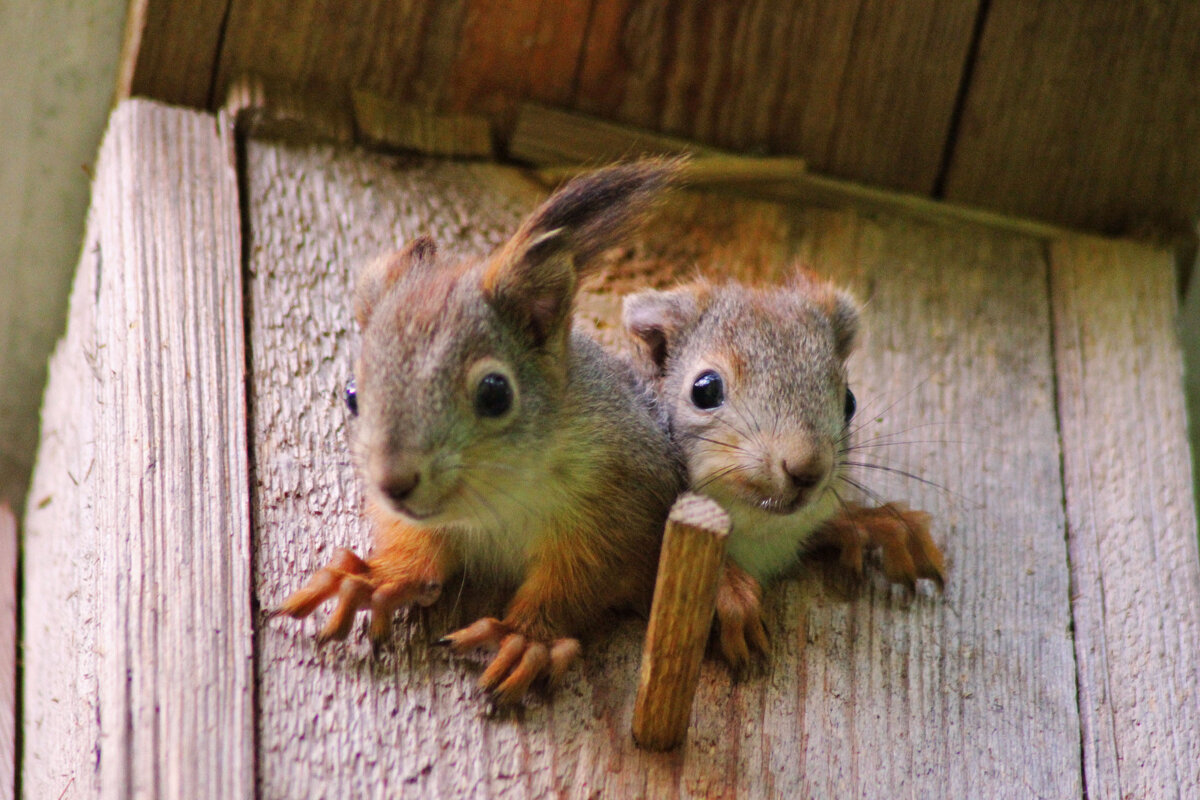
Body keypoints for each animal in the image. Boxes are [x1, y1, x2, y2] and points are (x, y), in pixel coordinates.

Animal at [273, 158, 686, 705]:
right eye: (351, 395)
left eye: (495, 393)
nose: (393, 483)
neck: (498, 500)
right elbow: (416, 546)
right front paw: (377, 579)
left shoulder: (624, 498)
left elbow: (580, 578)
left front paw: (525, 638)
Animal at [624, 273, 940, 671]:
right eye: (705, 390)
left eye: (850, 402)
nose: (807, 469)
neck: (758, 531)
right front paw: (729, 591)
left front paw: (875, 522)